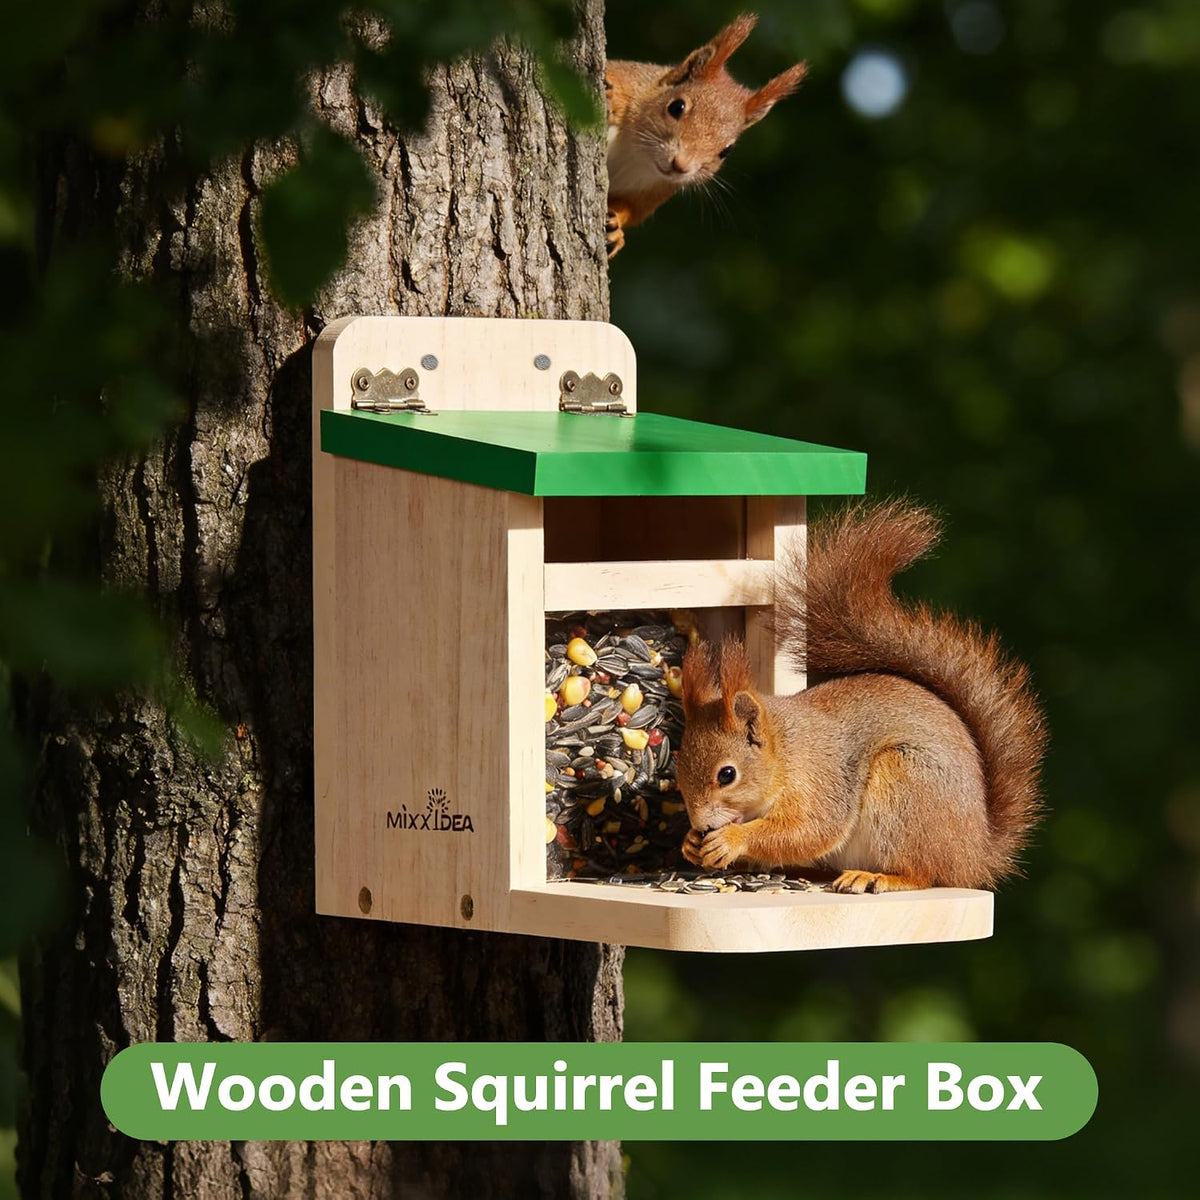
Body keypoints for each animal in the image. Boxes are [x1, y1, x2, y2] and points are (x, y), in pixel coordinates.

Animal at [604, 13, 807, 258]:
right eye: (676, 107)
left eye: (726, 150)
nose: (680, 166)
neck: (637, 153)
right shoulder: (630, 82)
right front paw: (608, 91)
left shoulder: (654, 191)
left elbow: (630, 209)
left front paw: (617, 231)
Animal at [676, 500, 1046, 893]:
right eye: (679, 764)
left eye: (727, 774)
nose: (701, 825)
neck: (786, 753)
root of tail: (974, 855)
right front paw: (690, 842)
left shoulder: (821, 782)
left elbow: (809, 829)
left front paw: (733, 839)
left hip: (905, 784)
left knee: (923, 872)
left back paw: (878, 877)